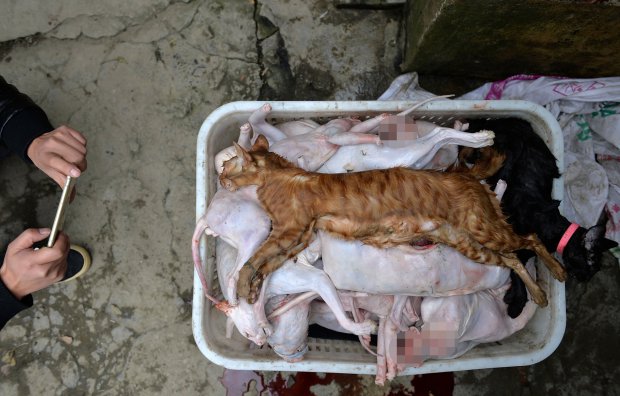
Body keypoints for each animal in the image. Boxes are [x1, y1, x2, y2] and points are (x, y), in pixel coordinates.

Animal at [222, 135, 568, 304]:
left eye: (227, 165)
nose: (219, 175)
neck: (277, 174)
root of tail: (464, 175)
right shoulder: (301, 235)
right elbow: (269, 263)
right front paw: (254, 290)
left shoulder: (288, 229)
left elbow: (256, 259)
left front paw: (242, 285)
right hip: (470, 243)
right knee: (510, 257)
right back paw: (539, 295)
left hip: (481, 228)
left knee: (530, 238)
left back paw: (557, 271)